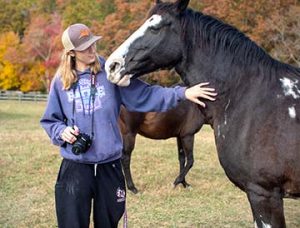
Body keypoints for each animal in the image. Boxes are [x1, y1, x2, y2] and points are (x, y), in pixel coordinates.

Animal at [105, 0, 300, 227]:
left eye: (155, 27)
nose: (112, 65)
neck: (249, 96)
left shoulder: (264, 193)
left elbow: (185, 160)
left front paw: (181, 183)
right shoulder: (262, 193)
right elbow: (187, 160)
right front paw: (180, 182)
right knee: (125, 158)